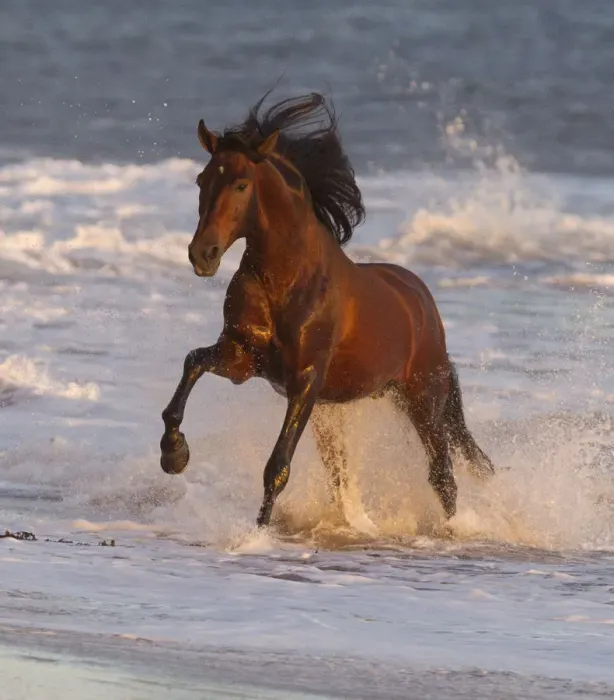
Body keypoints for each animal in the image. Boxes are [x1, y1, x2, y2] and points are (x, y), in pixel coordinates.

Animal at [159, 92, 494, 529]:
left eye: (241, 183)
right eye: (202, 181)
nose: (202, 255)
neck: (286, 281)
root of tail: (423, 304)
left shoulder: (305, 380)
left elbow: (277, 466)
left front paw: (258, 532)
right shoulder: (242, 359)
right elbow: (192, 364)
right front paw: (174, 454)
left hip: (424, 401)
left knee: (443, 475)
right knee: (344, 476)